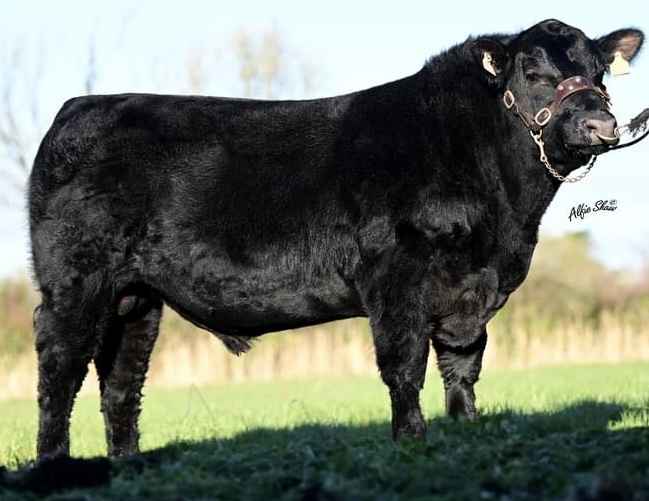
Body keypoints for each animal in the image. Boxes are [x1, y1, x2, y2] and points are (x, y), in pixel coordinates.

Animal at [28, 19, 644, 460]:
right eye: (535, 74)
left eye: (600, 73)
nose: (600, 126)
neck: (506, 216)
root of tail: (80, 106)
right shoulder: (396, 280)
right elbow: (404, 367)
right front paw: (411, 444)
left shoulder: (474, 288)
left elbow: (462, 366)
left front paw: (466, 434)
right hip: (75, 281)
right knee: (60, 368)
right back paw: (55, 465)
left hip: (135, 297)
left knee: (121, 383)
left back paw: (127, 467)